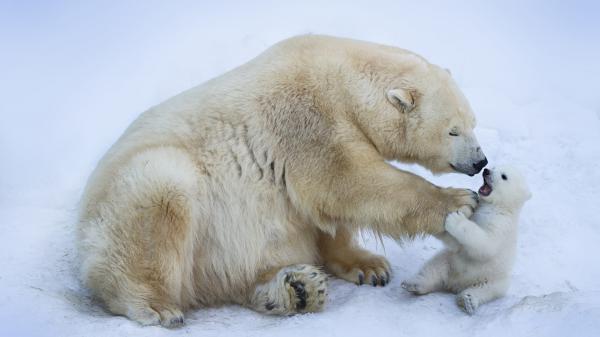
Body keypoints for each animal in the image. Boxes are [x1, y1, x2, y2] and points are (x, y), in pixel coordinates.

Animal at [76, 34, 488, 326]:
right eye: (452, 131)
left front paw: (369, 267)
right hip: (136, 195)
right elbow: (347, 181)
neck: (340, 79)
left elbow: (324, 213)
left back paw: (297, 289)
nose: (480, 161)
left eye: (473, 123)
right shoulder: (303, 117)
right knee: (159, 198)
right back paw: (155, 305)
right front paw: (459, 202)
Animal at [404, 165, 528, 312]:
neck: (498, 206)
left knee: (487, 290)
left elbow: (486, 244)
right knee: (434, 269)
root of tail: (456, 284)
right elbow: (457, 244)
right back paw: (413, 284)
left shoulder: (501, 225)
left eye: (504, 176)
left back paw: (467, 300)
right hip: (450, 261)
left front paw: (455, 218)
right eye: (494, 167)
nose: (486, 171)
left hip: (494, 278)